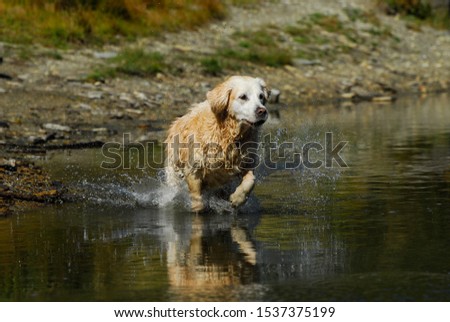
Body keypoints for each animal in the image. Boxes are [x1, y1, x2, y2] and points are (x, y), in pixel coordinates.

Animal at [166, 75, 268, 211]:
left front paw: (238, 199)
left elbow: (251, 181)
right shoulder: (194, 167)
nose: (262, 111)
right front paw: (198, 208)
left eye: (261, 96)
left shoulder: (247, 162)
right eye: (243, 97)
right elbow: (197, 197)